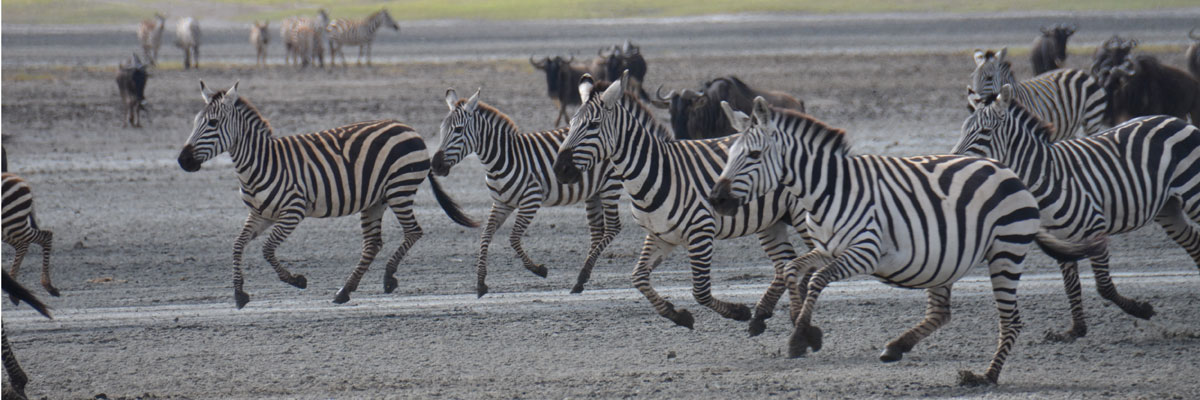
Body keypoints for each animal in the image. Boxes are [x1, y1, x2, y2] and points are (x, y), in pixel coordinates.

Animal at [176, 81, 480, 309]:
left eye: (213, 123)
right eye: (195, 122)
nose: (183, 161)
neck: (262, 162)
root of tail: (408, 128)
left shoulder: (293, 211)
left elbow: (266, 249)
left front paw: (297, 280)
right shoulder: (260, 214)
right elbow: (238, 245)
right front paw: (239, 294)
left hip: (400, 189)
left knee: (413, 231)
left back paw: (387, 278)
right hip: (376, 200)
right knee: (373, 244)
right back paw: (345, 290)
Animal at [433, 88, 622, 296]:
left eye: (458, 130)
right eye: (442, 129)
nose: (435, 165)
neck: (502, 159)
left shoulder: (531, 199)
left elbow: (514, 238)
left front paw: (538, 269)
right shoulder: (502, 203)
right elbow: (486, 235)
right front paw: (481, 282)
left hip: (610, 186)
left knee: (613, 228)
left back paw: (582, 275)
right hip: (594, 192)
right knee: (597, 232)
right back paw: (581, 279)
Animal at [552, 72, 809, 334]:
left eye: (593, 125)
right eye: (571, 124)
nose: (560, 169)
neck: (653, 173)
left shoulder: (701, 231)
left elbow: (700, 292)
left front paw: (737, 312)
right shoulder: (660, 235)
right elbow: (639, 278)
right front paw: (677, 315)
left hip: (803, 215)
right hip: (770, 221)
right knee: (786, 264)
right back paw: (765, 314)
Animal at [709, 96, 1103, 385]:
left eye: (754, 155)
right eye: (729, 155)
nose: (716, 199)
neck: (828, 190)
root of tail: (1005, 169)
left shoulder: (865, 251)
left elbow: (817, 280)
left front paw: (800, 336)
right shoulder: (827, 248)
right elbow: (794, 269)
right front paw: (806, 332)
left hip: (1006, 251)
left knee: (1011, 321)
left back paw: (985, 376)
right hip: (947, 258)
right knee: (941, 313)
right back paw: (897, 348)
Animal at [955, 83, 1200, 342]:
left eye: (985, 131)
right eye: (963, 130)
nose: (956, 159)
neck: (1048, 175)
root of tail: (1175, 119)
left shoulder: (1095, 227)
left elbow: (1103, 286)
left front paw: (1141, 310)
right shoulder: (1061, 237)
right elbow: (1070, 285)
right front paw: (1075, 330)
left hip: (1193, 193)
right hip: (1168, 209)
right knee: (1194, 242)